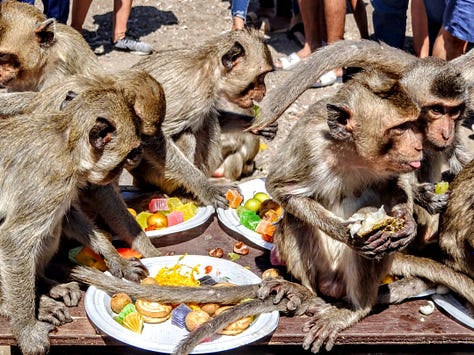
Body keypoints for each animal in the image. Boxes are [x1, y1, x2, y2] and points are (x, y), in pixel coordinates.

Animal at [0, 84, 146, 355]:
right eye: (132, 150)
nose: (140, 153)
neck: (67, 143)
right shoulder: (51, 183)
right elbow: (12, 240)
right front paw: (27, 331)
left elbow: (68, 216)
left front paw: (115, 258)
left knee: (52, 229)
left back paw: (45, 285)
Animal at [128, 29, 274, 210]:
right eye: (261, 76)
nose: (264, 91)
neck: (211, 70)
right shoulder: (191, 92)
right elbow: (150, 136)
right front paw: (206, 188)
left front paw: (256, 124)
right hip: (152, 175)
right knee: (188, 135)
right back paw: (183, 192)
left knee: (208, 121)